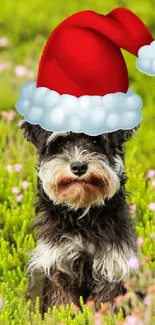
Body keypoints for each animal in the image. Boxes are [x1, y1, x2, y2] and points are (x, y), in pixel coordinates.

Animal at [18, 118, 138, 314]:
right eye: (60, 143)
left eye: (96, 140)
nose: (78, 166)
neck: (83, 215)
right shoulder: (58, 265)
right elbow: (62, 304)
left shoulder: (111, 265)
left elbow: (103, 304)